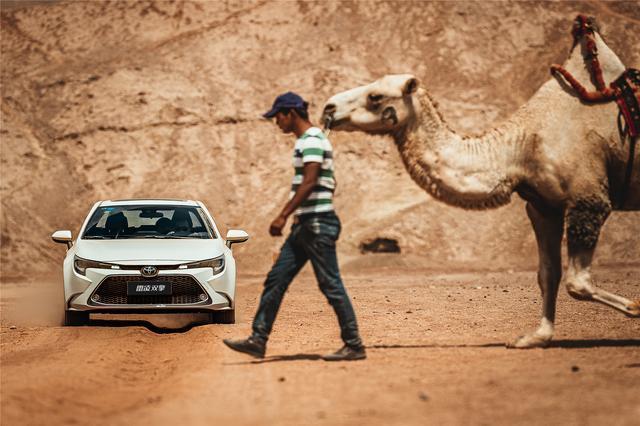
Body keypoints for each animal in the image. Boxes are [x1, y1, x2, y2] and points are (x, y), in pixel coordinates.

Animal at [322, 17, 636, 350]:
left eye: (375, 96)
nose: (328, 107)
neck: (521, 147)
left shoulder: (589, 198)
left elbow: (578, 282)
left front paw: (635, 307)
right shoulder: (543, 206)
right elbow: (548, 274)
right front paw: (535, 337)